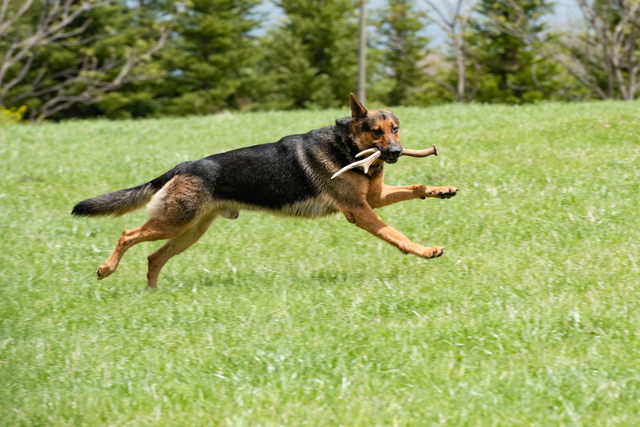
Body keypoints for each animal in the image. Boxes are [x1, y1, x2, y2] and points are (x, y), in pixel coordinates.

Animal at [72, 93, 458, 288]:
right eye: (376, 131)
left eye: (395, 129)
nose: (395, 152)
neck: (346, 145)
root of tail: (184, 166)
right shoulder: (360, 210)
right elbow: (396, 235)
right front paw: (425, 251)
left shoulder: (373, 199)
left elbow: (416, 187)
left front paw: (442, 190)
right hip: (174, 223)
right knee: (127, 234)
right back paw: (106, 270)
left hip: (189, 231)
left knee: (153, 257)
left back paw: (152, 293)